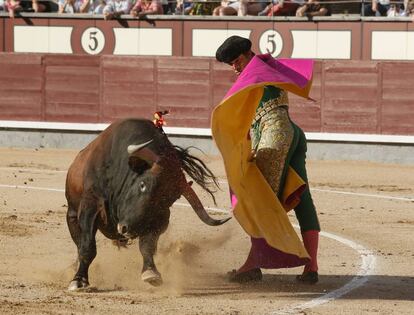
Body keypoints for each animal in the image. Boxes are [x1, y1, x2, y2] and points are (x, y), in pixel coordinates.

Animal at [64, 118, 230, 292]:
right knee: (79, 241)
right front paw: (79, 281)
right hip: (72, 214)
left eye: (168, 200)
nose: (127, 229)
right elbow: (87, 247)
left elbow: (147, 246)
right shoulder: (90, 206)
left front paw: (151, 272)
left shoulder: (159, 219)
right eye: (142, 184)